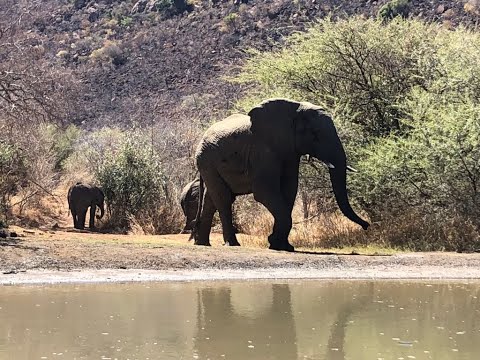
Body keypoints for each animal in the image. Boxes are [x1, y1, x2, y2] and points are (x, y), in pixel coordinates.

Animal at [191, 97, 368, 252]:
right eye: (315, 134)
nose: (366, 226)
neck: (294, 109)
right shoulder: (262, 150)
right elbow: (265, 192)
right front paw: (275, 243)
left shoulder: (290, 152)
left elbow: (289, 191)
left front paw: (282, 246)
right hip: (206, 160)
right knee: (224, 199)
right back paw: (232, 244)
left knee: (211, 200)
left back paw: (202, 243)